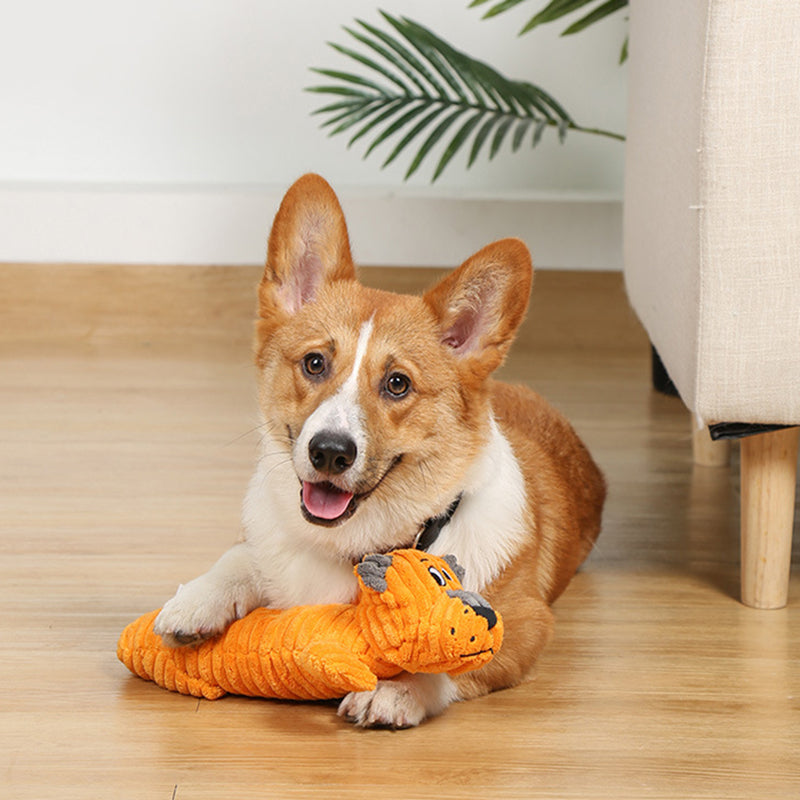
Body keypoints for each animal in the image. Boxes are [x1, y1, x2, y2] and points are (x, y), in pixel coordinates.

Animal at [155, 173, 608, 724]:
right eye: (314, 363)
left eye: (397, 384)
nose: (330, 452)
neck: (354, 545)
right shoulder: (263, 544)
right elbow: (238, 558)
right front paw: (195, 601)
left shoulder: (527, 624)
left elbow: (459, 654)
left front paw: (398, 691)